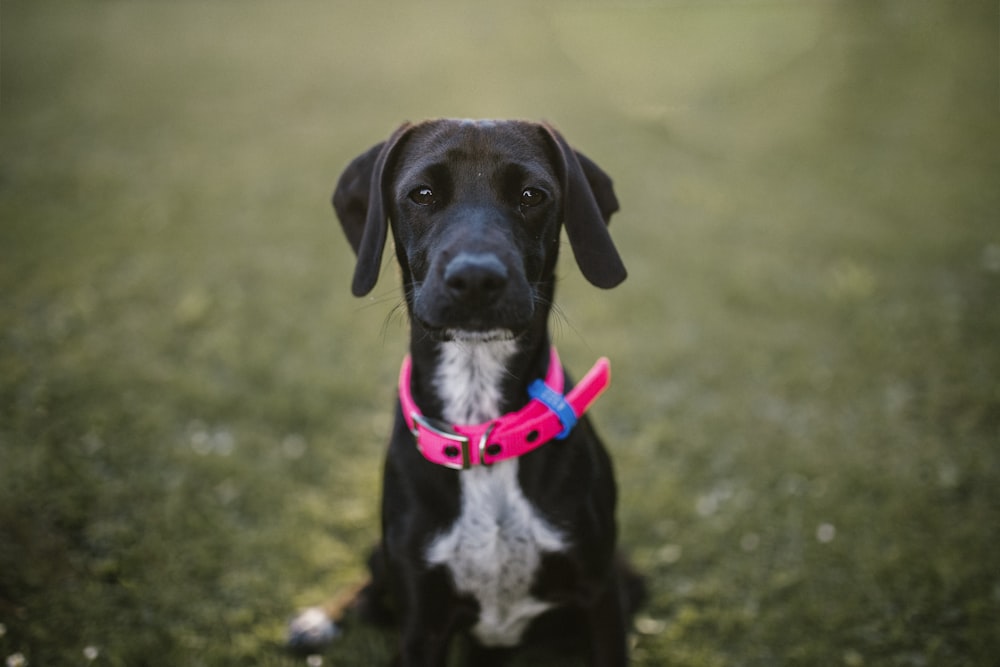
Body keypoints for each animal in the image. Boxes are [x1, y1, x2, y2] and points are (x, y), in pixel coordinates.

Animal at [292, 121, 644, 667]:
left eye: (532, 195)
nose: (476, 278)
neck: (481, 431)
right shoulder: (421, 620)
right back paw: (320, 619)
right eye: (421, 194)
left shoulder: (600, 594)